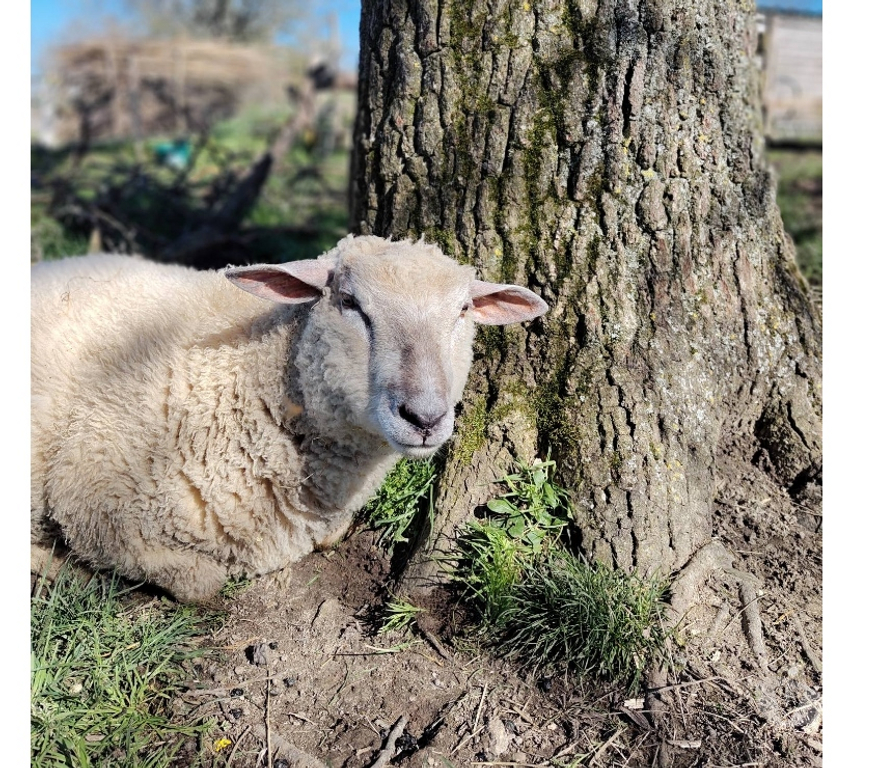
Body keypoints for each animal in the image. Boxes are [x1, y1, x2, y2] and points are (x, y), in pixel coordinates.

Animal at [31, 234, 548, 602]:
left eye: (463, 310)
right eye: (349, 302)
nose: (424, 416)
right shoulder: (96, 504)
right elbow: (202, 582)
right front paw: (71, 568)